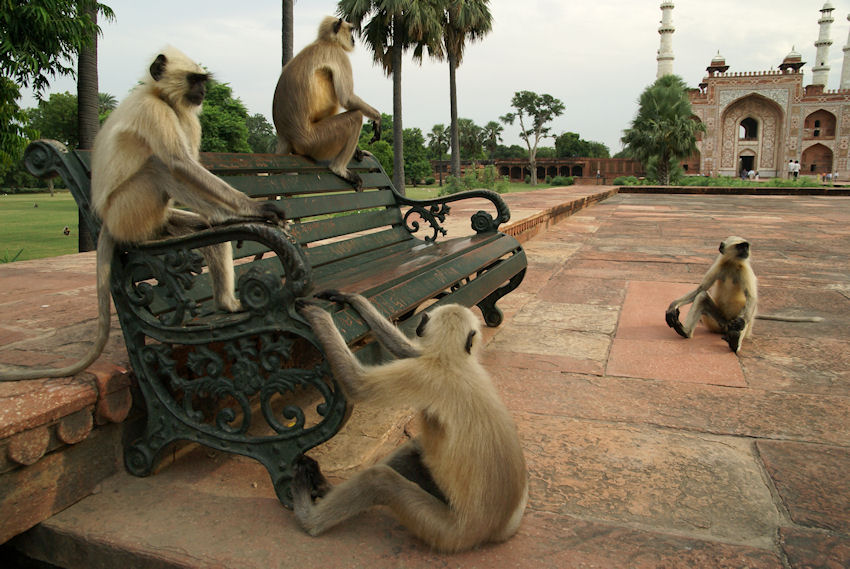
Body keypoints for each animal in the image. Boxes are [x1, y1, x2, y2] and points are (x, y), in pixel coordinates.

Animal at [272, 16, 380, 191]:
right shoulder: (338, 54)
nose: (353, 39)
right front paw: (377, 118)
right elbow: (347, 98)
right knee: (356, 116)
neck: (325, 42)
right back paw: (339, 169)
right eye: (351, 30)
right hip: (314, 141)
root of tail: (284, 135)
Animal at [294, 290, 528, 552]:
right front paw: (351, 299)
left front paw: (317, 314)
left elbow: (357, 384)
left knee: (380, 480)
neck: (453, 362)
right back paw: (325, 489)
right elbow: (408, 350)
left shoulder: (424, 375)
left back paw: (309, 519)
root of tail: (493, 529)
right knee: (414, 448)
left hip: (445, 530)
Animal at [664, 234, 820, 350]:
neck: (732, 263)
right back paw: (685, 332)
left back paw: (735, 341)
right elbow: (700, 289)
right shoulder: (719, 266)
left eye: (746, 246)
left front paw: (739, 326)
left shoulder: (745, 270)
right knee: (702, 296)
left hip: (741, 324)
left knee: (747, 314)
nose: (746, 251)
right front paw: (672, 307)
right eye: (740, 246)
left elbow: (751, 298)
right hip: (717, 321)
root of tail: (726, 325)